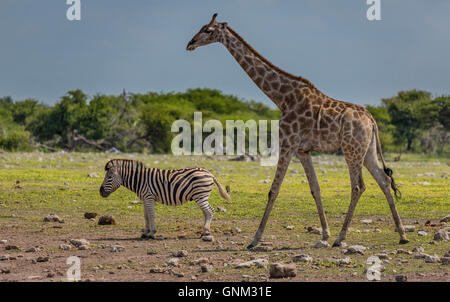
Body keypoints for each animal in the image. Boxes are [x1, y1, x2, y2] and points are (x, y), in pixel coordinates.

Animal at [100, 159, 230, 239]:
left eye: (109, 177)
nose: (100, 192)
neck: (139, 180)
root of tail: (210, 173)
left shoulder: (149, 197)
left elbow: (151, 215)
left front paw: (152, 233)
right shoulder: (144, 199)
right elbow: (146, 216)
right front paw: (145, 233)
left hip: (200, 195)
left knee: (210, 211)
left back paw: (206, 232)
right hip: (201, 196)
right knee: (206, 212)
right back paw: (204, 232)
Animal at [185, 13, 410, 248]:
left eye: (208, 30)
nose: (190, 43)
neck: (282, 98)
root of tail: (371, 120)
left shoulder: (287, 143)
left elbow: (273, 190)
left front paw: (255, 239)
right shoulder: (303, 151)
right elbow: (315, 189)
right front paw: (323, 235)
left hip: (351, 150)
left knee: (358, 186)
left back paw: (341, 238)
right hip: (368, 150)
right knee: (384, 180)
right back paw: (402, 235)